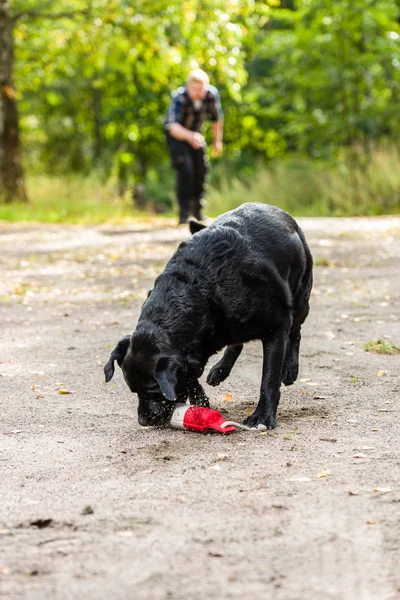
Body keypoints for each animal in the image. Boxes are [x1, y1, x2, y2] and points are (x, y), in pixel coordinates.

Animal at [104, 204, 312, 428]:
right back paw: (221, 369)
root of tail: (279, 212)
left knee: (296, 332)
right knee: (236, 342)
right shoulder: (192, 350)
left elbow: (269, 377)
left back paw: (290, 369)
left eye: (155, 390)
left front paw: (263, 416)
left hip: (300, 299)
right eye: (133, 389)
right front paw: (200, 403)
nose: (143, 420)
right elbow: (189, 376)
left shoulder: (277, 325)